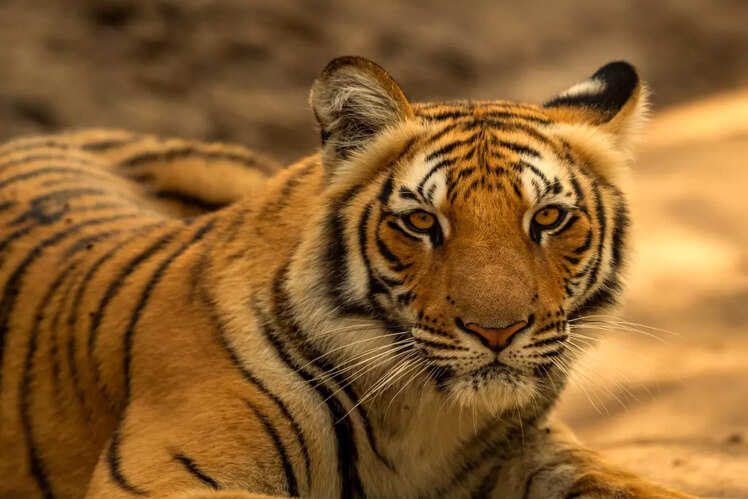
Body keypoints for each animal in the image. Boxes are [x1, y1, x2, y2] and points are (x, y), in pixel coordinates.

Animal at [0, 56, 696, 499]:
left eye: (548, 217)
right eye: (421, 221)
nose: (496, 332)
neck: (425, 419)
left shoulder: (537, 450)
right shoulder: (165, 472)